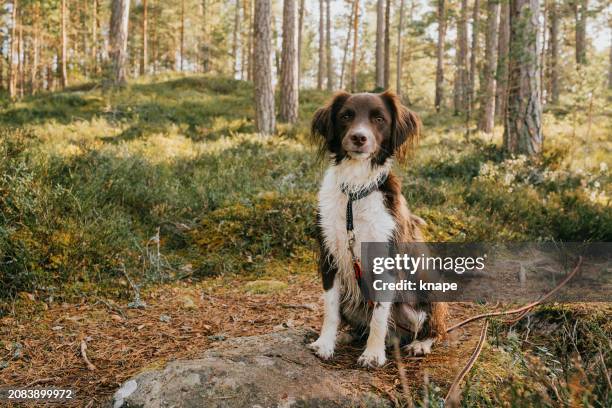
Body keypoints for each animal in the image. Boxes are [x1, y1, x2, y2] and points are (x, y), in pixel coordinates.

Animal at [308, 91, 448, 368]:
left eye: (379, 119)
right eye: (346, 116)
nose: (358, 137)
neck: (355, 192)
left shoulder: (387, 262)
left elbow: (380, 316)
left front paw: (373, 354)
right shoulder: (329, 256)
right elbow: (330, 309)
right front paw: (326, 343)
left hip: (425, 297)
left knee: (435, 328)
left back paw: (420, 344)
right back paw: (347, 335)